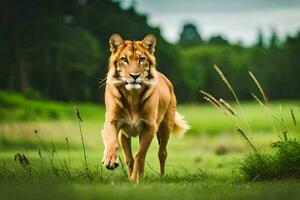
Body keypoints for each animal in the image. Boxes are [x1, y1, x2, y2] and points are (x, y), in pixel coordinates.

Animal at [102, 33, 189, 181]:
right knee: (130, 158)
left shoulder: (149, 127)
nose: (134, 76)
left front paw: (135, 179)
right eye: (124, 59)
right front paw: (110, 160)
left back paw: (159, 177)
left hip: (165, 127)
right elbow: (114, 143)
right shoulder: (113, 122)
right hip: (127, 135)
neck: (132, 96)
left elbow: (140, 155)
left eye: (141, 59)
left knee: (162, 153)